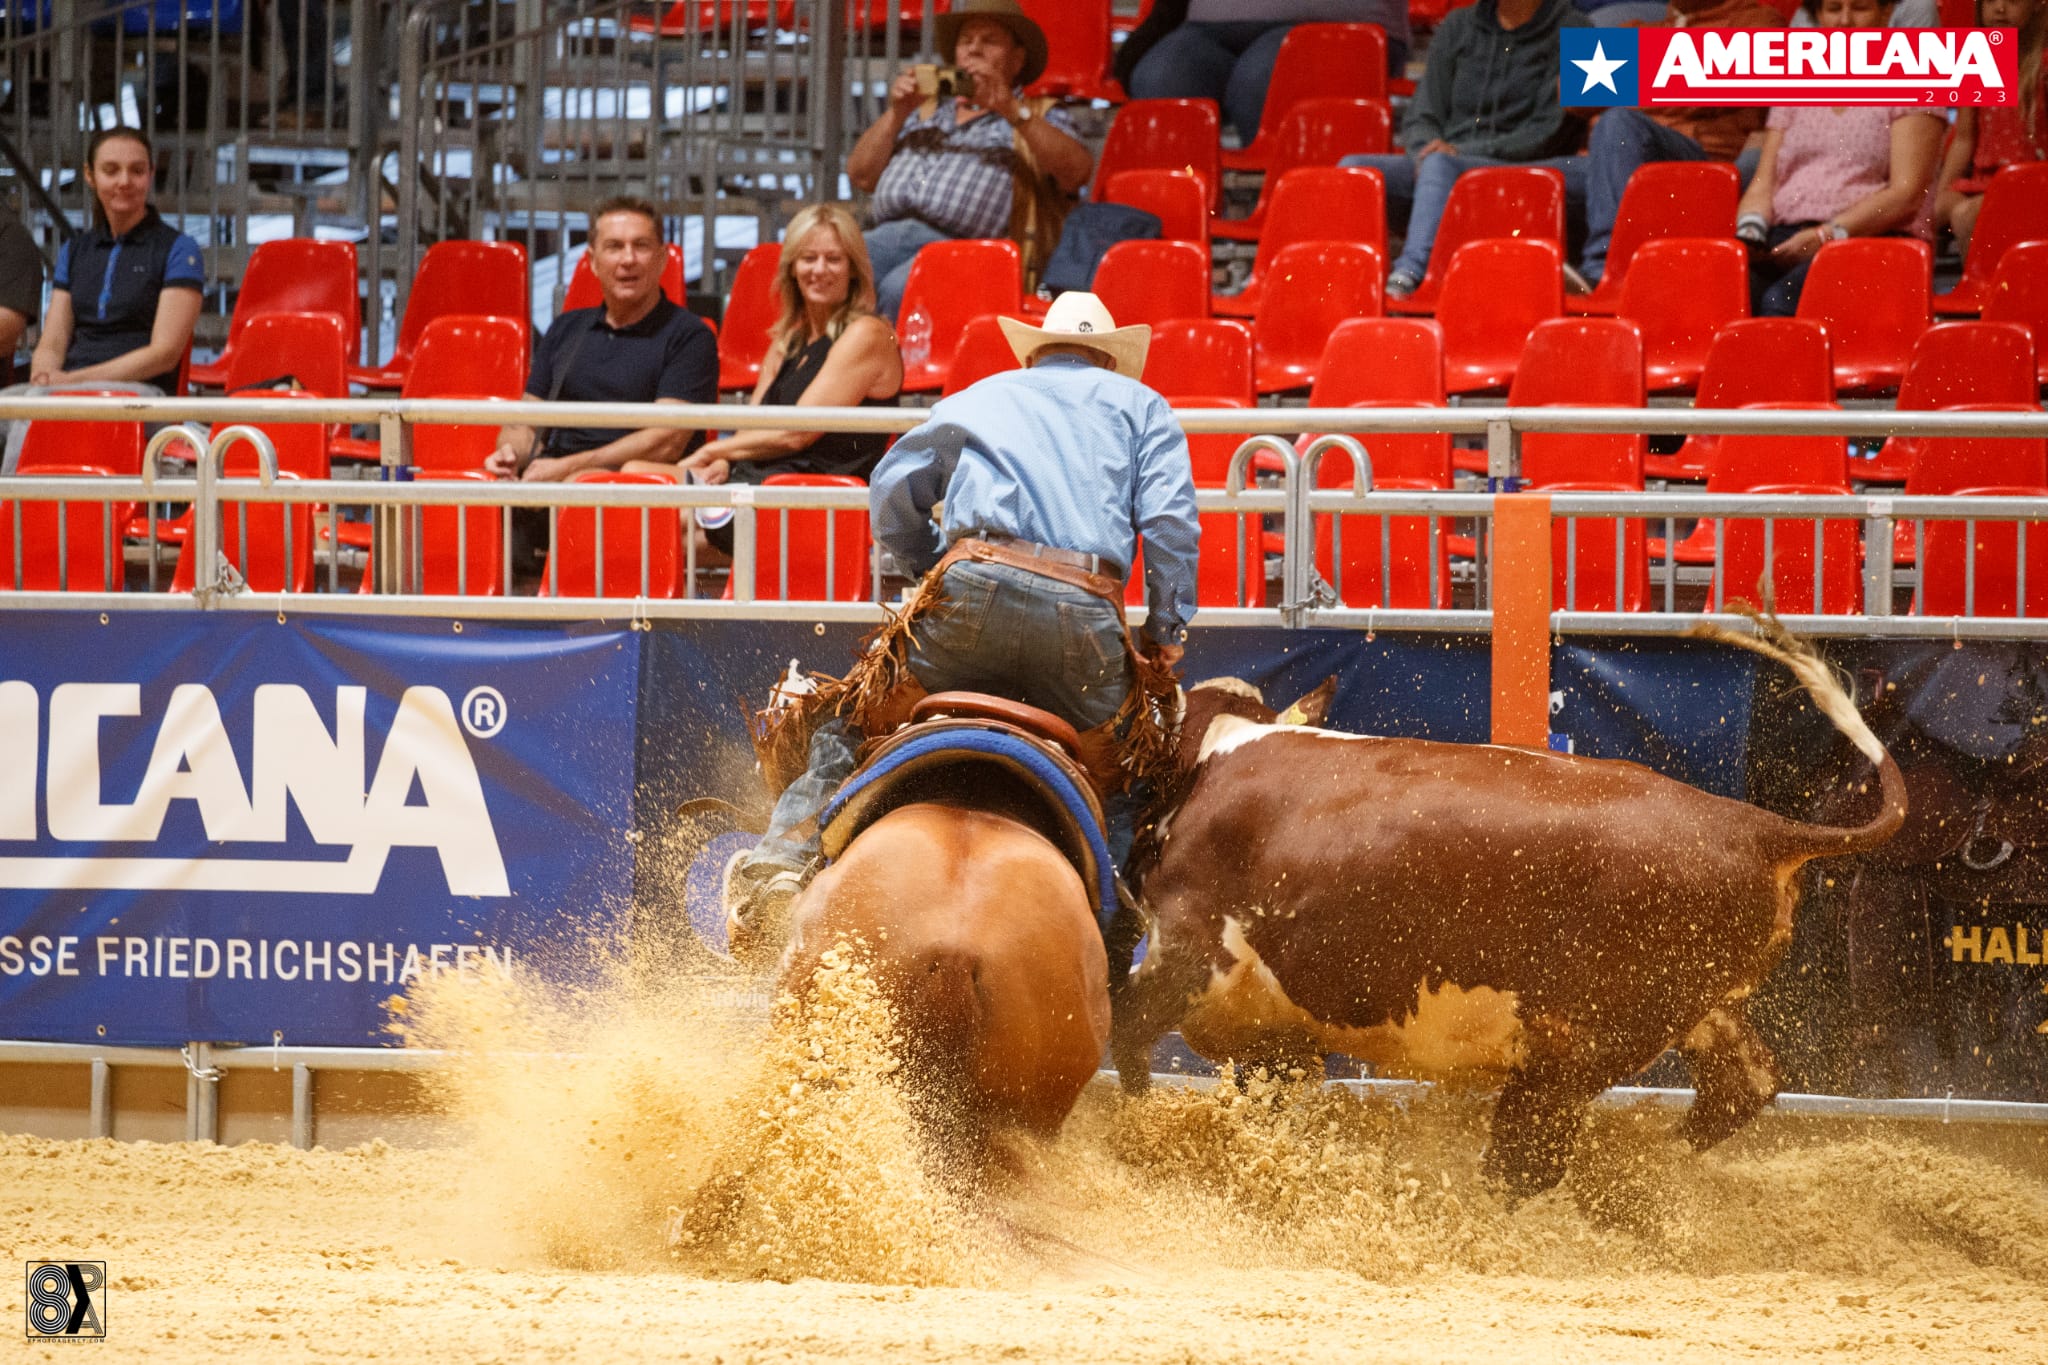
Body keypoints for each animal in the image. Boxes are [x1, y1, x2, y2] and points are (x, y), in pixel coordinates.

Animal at [1112, 619, 1906, 1200]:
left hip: (1577, 1047)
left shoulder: (1189, 955)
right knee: (1742, 1085)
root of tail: (1754, 827)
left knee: (1529, 1157)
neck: (1214, 765)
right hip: (1699, 1009)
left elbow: (1126, 1039)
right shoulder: (1279, 1035)